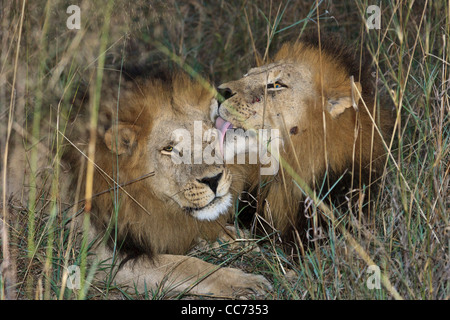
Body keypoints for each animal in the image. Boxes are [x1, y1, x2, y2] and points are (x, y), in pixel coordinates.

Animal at [6, 69, 270, 298]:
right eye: (169, 149)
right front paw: (245, 281)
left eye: (208, 138)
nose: (213, 180)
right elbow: (186, 265)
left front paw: (247, 242)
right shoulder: (103, 259)